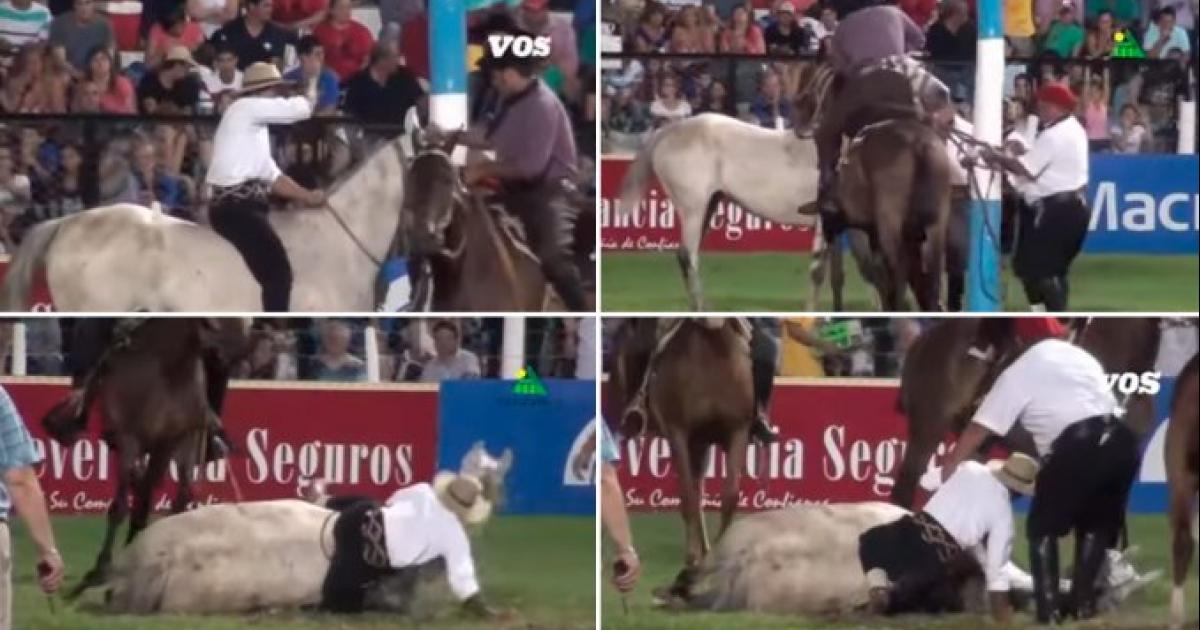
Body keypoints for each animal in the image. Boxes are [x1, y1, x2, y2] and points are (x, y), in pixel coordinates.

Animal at [42, 316, 248, 597]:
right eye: (210, 325)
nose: (236, 354)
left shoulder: (180, 438)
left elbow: (174, 502)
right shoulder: (132, 440)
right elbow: (120, 507)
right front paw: (99, 570)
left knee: (152, 495)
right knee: (140, 491)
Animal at [614, 319, 753, 600]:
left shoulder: (737, 430)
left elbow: (729, 496)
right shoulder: (678, 432)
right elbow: (687, 497)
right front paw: (689, 564)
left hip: (702, 443)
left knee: (700, 489)